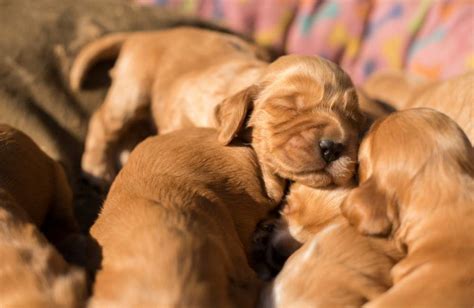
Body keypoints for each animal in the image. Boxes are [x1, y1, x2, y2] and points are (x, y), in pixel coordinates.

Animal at [72, 28, 364, 202]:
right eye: (290, 108)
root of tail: (144, 35)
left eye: (351, 118)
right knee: (102, 122)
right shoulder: (186, 102)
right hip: (132, 90)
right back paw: (97, 169)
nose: (333, 147)